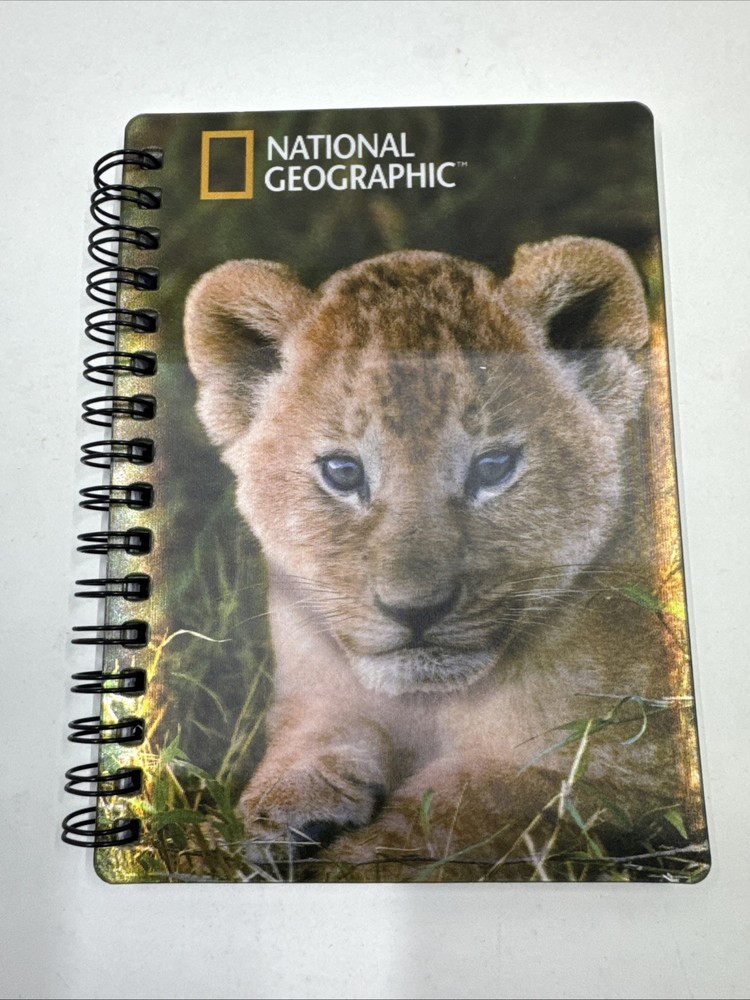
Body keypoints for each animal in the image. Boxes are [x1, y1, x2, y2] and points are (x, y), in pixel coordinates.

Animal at [184, 237, 700, 881]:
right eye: (343, 472)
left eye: (494, 467)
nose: (416, 610)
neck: (431, 704)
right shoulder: (314, 699)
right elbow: (304, 753)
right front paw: (258, 827)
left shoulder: (630, 764)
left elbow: (466, 807)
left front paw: (354, 864)